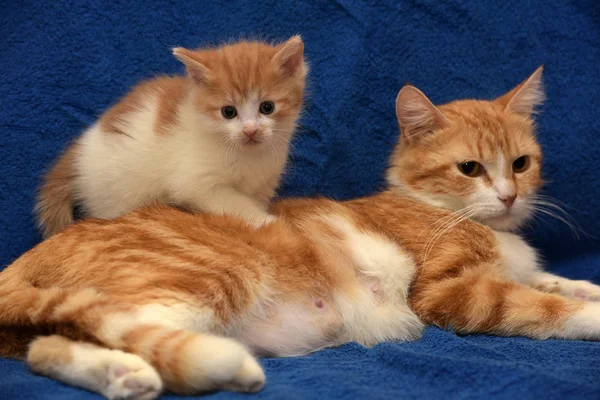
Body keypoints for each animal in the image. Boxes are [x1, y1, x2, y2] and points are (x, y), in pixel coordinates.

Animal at [1, 70, 600, 398]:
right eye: (470, 169)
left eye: (521, 163)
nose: (509, 196)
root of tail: (30, 256)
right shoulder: (449, 290)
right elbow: (535, 304)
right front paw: (587, 313)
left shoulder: (514, 269)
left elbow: (550, 282)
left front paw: (583, 287)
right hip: (206, 279)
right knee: (98, 332)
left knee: (48, 348)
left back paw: (126, 378)